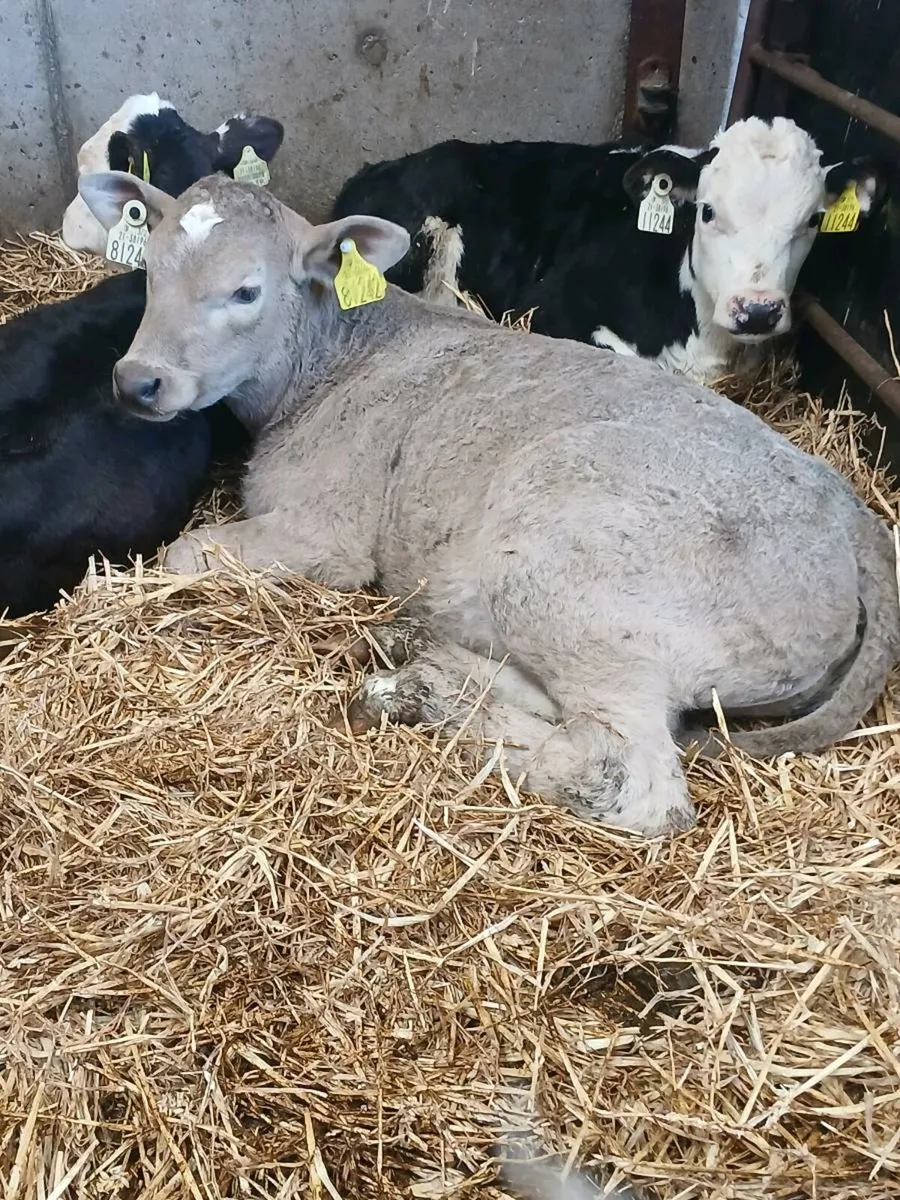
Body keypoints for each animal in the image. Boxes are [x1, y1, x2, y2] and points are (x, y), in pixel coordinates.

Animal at [76, 169, 900, 839]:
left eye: (246, 290)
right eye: (149, 271)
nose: (136, 381)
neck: (337, 355)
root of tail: (851, 511)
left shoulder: (328, 530)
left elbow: (185, 550)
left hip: (574, 585)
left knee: (625, 775)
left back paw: (426, 697)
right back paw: (415, 660)